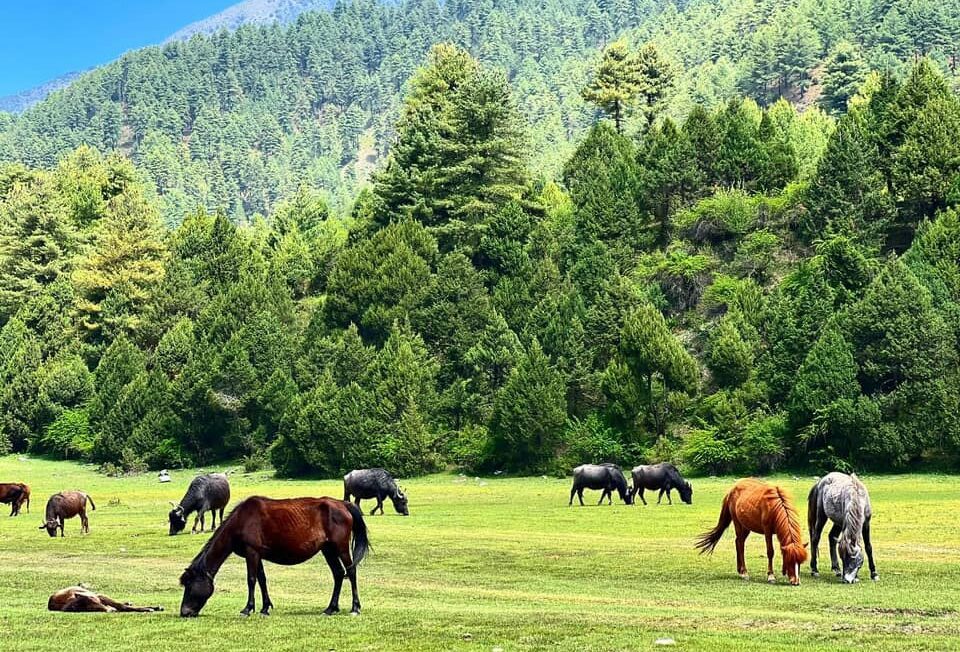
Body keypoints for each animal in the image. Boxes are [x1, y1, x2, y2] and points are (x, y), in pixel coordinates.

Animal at [179, 496, 370, 618]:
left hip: (341, 548)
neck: (241, 521)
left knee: (351, 572)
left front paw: (247, 609)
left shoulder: (252, 552)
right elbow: (262, 579)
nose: (184, 612)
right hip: (328, 549)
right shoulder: (256, 554)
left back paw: (355, 607)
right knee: (338, 574)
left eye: (190, 586)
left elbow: (251, 579)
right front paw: (265, 608)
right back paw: (331, 608)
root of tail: (343, 505)